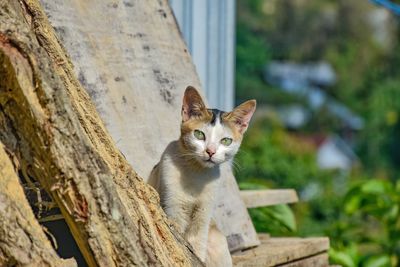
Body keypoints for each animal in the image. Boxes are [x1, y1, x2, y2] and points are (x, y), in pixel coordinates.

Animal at [148, 86, 256, 266]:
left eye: (226, 141)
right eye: (199, 134)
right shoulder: (172, 209)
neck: (196, 172)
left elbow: (198, 245)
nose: (210, 151)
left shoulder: (203, 215)